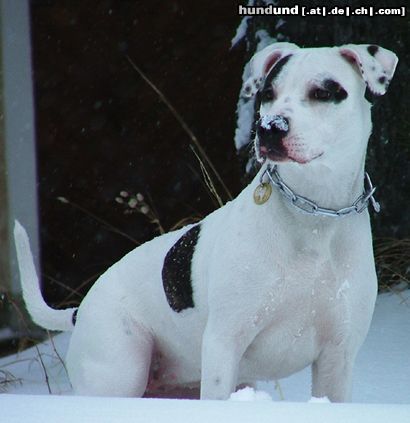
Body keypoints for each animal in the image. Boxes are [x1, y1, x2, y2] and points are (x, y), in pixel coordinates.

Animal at [15, 43, 398, 404]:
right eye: (268, 94)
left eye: (323, 92)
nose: (269, 128)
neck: (314, 215)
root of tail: (80, 310)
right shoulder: (223, 343)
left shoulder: (338, 356)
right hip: (119, 367)